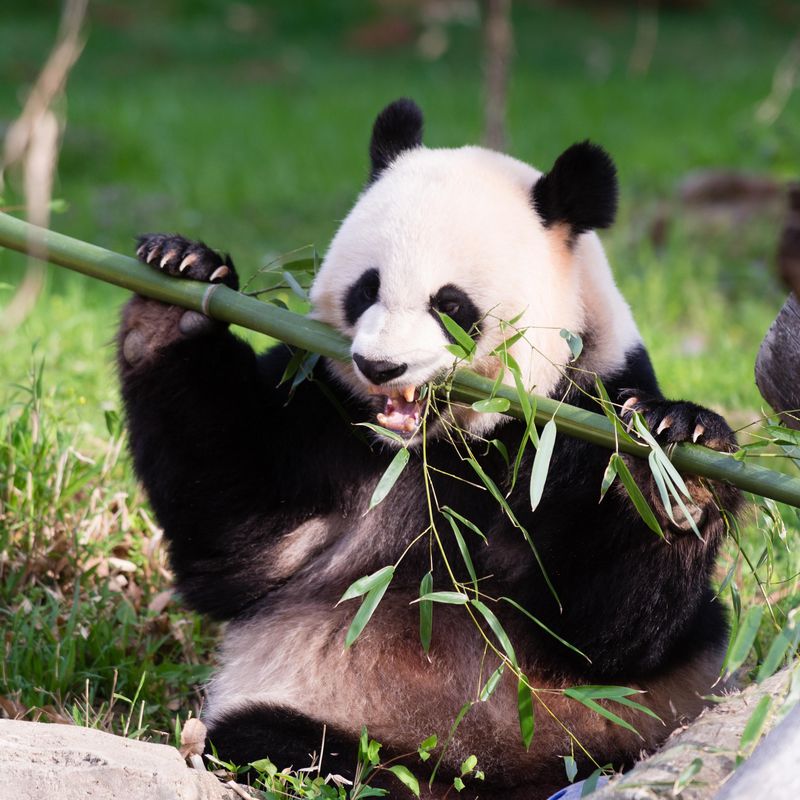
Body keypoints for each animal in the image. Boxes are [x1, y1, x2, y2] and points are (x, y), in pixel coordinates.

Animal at [119, 97, 744, 796]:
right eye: (366, 288)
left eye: (450, 305)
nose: (379, 366)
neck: (440, 447)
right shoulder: (324, 415)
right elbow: (242, 541)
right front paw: (179, 287)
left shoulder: (584, 408)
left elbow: (607, 632)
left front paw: (675, 458)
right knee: (271, 740)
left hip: (630, 726)